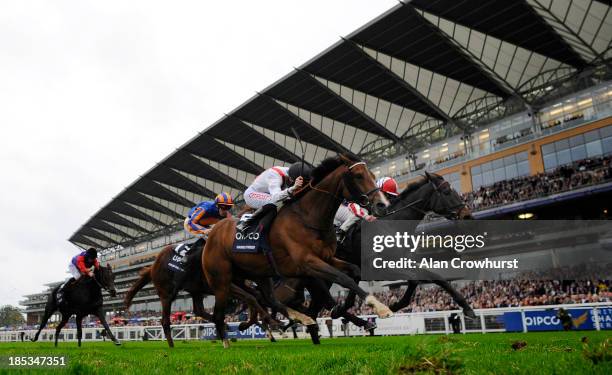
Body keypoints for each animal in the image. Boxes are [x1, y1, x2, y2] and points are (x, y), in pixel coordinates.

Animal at [203, 155, 390, 350]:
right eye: (359, 176)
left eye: (372, 175)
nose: (382, 204)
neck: (308, 217)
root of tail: (212, 233)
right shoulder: (308, 262)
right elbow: (343, 278)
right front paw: (379, 307)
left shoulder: (327, 258)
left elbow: (355, 271)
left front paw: (347, 307)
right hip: (221, 279)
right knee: (219, 313)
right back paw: (227, 341)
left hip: (258, 273)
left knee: (268, 298)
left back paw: (300, 319)